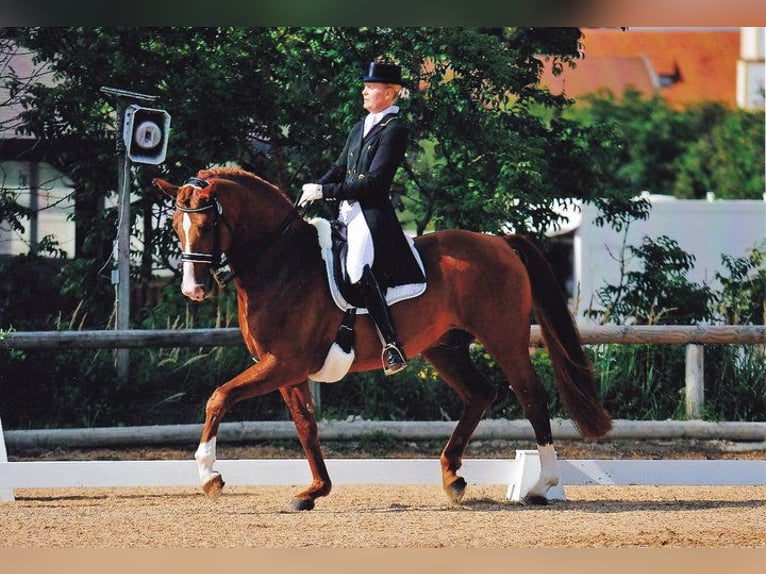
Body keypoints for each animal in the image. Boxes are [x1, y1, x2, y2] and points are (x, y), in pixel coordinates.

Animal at [153, 168, 616, 512]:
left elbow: (219, 397)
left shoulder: (283, 363)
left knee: (531, 396)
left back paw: (540, 485)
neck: (281, 262)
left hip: (504, 338)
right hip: (444, 347)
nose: (193, 290)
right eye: (176, 224)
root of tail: (498, 242)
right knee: (481, 393)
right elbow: (306, 425)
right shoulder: (285, 369)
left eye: (207, 224)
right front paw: (314, 491)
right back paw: (452, 476)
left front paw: (210, 476)